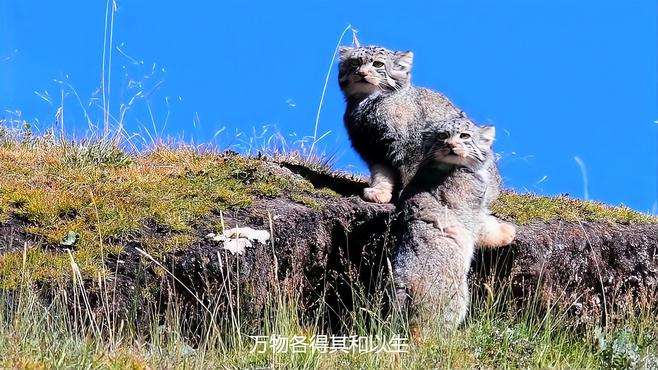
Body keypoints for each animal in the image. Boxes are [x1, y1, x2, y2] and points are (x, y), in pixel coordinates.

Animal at [392, 118, 516, 332]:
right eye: (442, 135)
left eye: (464, 136)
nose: (450, 144)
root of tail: (403, 284)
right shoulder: (471, 210)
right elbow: (486, 227)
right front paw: (507, 231)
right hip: (453, 298)